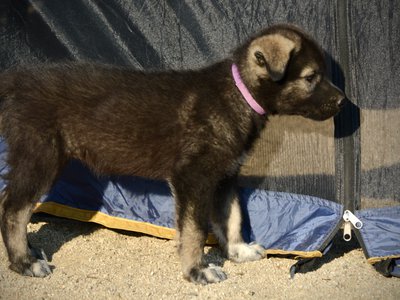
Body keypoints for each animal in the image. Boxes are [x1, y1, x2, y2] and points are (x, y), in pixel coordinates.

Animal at [0, 25, 344, 284]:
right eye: (311, 77)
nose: (343, 101)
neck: (238, 93)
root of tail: (17, 79)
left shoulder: (225, 176)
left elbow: (233, 217)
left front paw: (238, 251)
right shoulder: (192, 177)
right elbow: (195, 230)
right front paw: (197, 270)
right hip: (41, 156)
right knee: (14, 209)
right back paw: (24, 262)